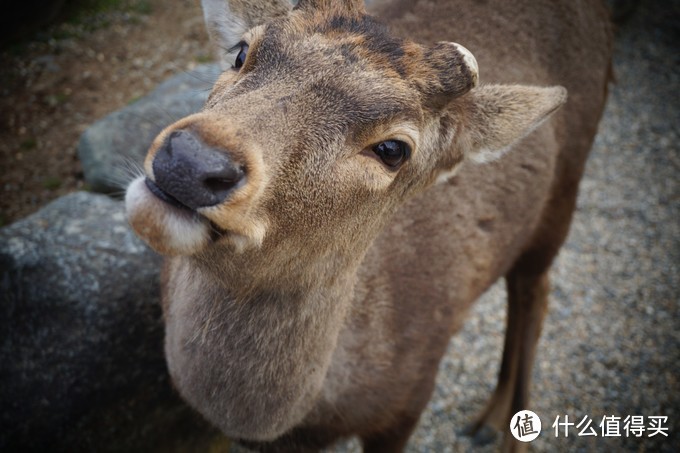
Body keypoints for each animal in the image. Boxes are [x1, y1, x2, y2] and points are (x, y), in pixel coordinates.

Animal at [125, 0, 612, 448]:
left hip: (566, 185)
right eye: (242, 52)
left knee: (535, 290)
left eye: (393, 149)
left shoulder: (412, 395)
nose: (191, 160)